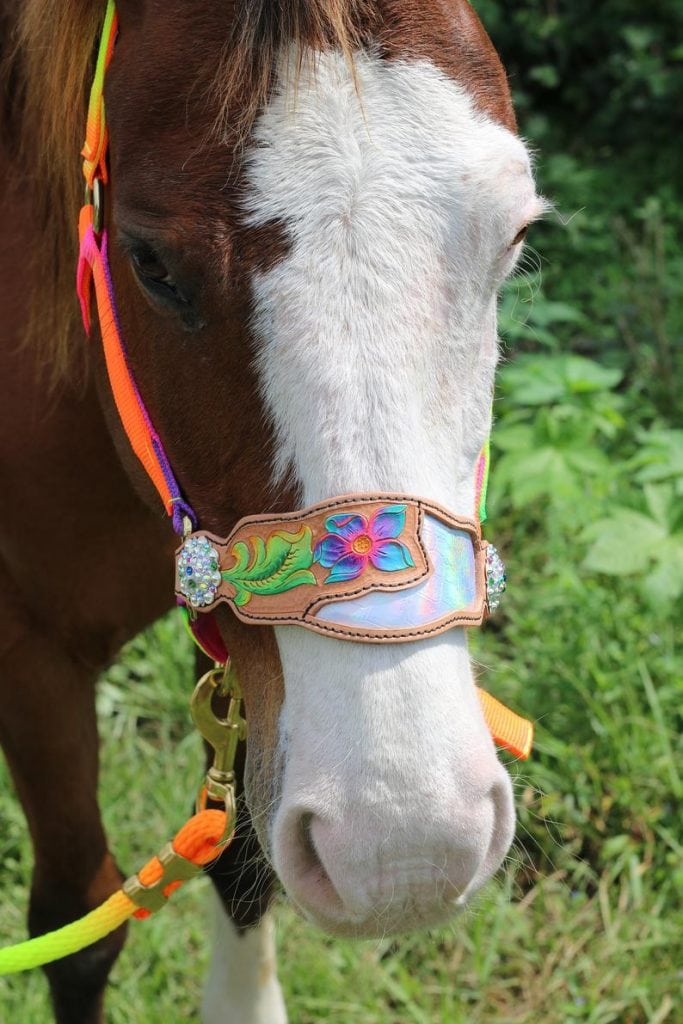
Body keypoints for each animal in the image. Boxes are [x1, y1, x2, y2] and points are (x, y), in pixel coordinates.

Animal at [0, 2, 544, 1024]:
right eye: (151, 263)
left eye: (514, 241)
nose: (406, 847)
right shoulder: (30, 655)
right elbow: (79, 926)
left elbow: (242, 857)